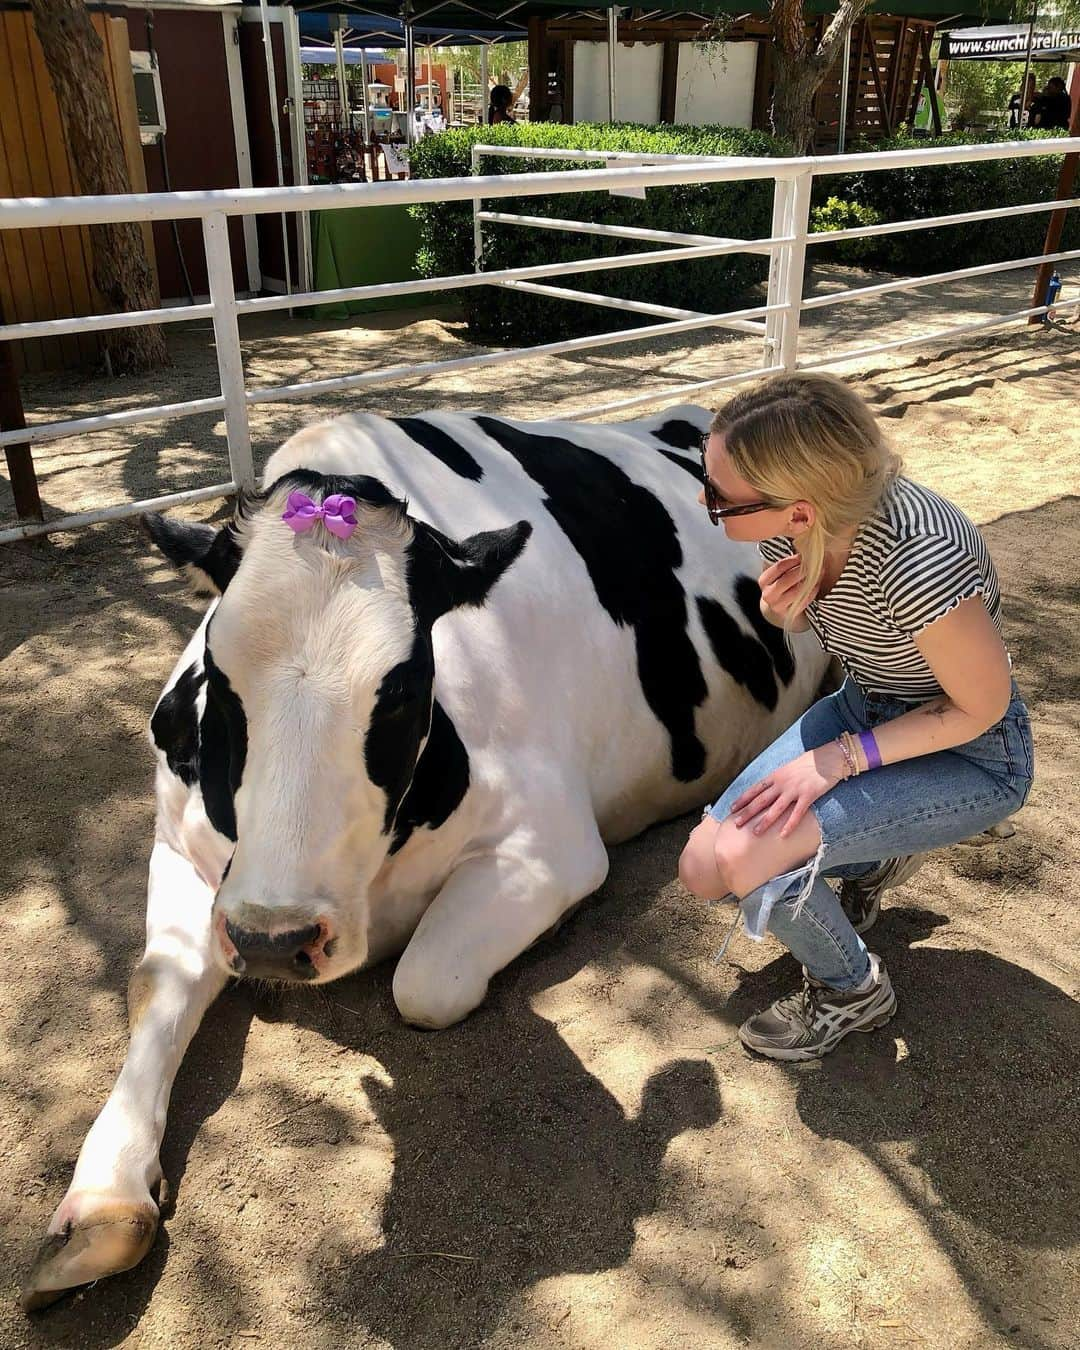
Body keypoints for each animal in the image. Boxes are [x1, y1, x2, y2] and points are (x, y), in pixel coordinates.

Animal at [18, 399, 826, 1306]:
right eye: (219, 680)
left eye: (402, 689)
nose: (274, 941)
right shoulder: (181, 844)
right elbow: (160, 979)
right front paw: (99, 1200)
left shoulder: (553, 847)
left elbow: (425, 983)